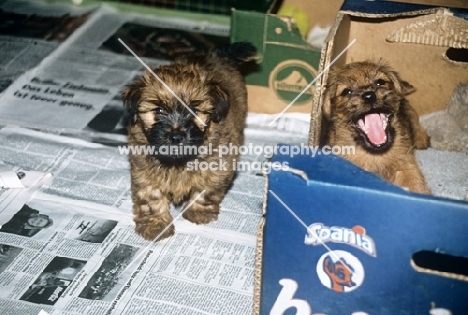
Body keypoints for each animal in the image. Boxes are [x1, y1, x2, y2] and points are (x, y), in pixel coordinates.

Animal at [122, 42, 258, 242]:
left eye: (194, 111)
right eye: (159, 110)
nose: (176, 136)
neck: (177, 161)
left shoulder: (218, 166)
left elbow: (206, 190)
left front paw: (198, 211)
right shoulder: (143, 170)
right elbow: (151, 197)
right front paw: (155, 224)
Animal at [324, 58, 430, 193]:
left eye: (380, 82)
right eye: (347, 92)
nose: (369, 96)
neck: (376, 154)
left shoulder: (407, 165)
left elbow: (414, 184)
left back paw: (421, 138)